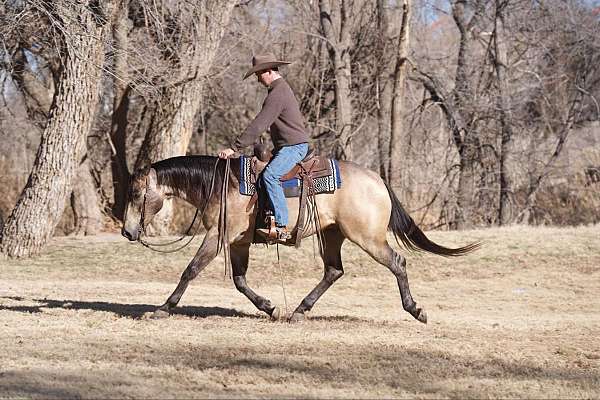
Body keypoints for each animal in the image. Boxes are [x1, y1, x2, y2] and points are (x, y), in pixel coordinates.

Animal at [120, 155, 478, 324]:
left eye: (137, 193)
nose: (127, 231)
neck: (221, 184)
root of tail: (378, 180)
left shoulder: (218, 237)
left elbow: (190, 270)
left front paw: (163, 308)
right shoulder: (238, 242)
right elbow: (240, 280)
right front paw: (270, 307)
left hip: (367, 237)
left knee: (397, 262)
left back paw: (415, 310)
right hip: (333, 235)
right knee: (333, 271)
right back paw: (299, 310)